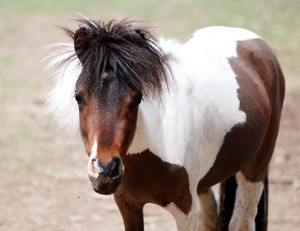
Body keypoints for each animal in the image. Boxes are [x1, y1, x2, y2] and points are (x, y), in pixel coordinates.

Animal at [47, 19, 284, 231]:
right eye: (78, 96)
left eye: (136, 98)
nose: (105, 172)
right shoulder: (128, 205)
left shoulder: (186, 209)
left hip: (255, 170)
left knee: (241, 222)